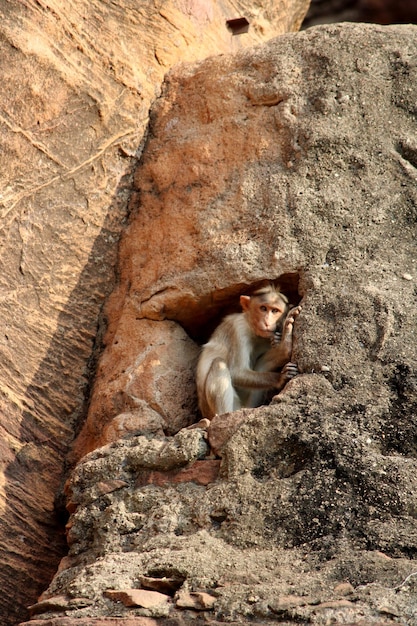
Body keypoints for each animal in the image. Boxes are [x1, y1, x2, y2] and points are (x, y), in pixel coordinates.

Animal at [195, 284, 300, 420]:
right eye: (263, 308)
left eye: (275, 311)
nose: (267, 322)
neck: (252, 328)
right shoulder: (238, 328)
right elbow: (236, 372)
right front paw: (280, 377)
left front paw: (280, 344)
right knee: (219, 364)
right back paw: (223, 415)